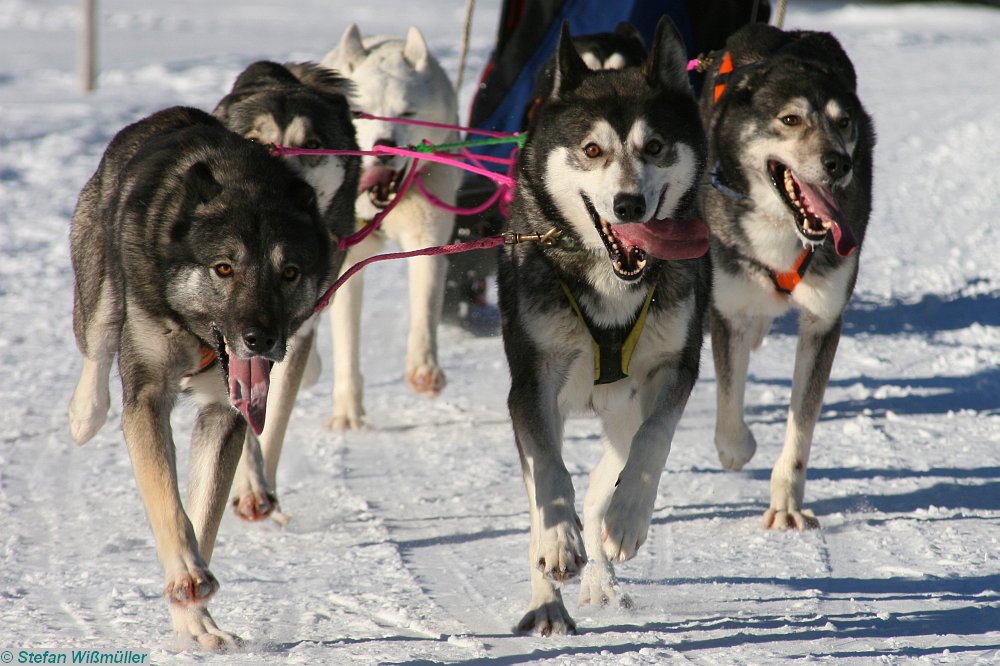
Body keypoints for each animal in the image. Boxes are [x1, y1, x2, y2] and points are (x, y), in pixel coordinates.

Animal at [67, 106, 332, 644]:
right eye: (224, 268)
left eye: (290, 272)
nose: (260, 339)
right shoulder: (148, 397)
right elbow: (169, 502)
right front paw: (188, 577)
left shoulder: (224, 411)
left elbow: (203, 513)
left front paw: (195, 619)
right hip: (100, 280)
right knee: (98, 340)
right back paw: (85, 412)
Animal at [320, 24, 460, 426]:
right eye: (363, 112)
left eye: (407, 111)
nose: (385, 146)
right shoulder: (347, 263)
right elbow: (347, 339)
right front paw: (347, 412)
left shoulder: (428, 238)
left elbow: (424, 307)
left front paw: (424, 369)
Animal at [500, 19, 712, 632]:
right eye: (592, 149)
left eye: (655, 146)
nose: (628, 204)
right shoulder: (533, 384)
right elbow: (549, 477)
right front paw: (557, 546)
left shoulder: (673, 369)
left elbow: (653, 442)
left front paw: (626, 521)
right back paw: (549, 596)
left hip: (622, 404)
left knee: (606, 474)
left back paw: (601, 561)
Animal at [700, 23, 872, 528]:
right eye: (791, 119)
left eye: (843, 122)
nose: (839, 162)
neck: (784, 229)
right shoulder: (728, 308)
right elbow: (729, 403)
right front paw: (737, 449)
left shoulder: (823, 321)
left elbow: (802, 425)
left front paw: (787, 504)